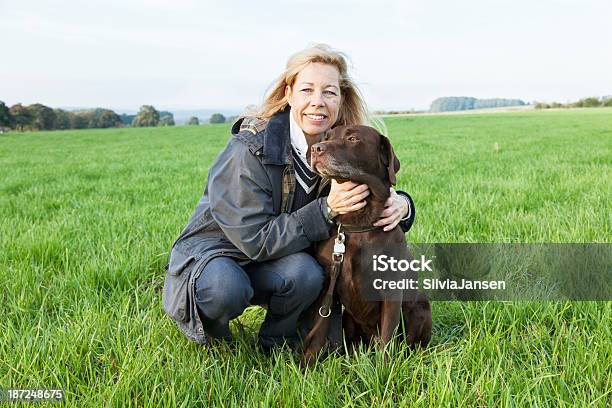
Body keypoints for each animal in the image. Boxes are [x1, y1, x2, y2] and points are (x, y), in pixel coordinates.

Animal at [304, 124, 432, 364]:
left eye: (353, 139)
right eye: (327, 136)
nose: (316, 149)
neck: (358, 224)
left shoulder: (392, 292)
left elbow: (388, 336)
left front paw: (384, 369)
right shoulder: (327, 289)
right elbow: (317, 332)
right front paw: (306, 367)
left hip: (420, 305)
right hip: (349, 319)